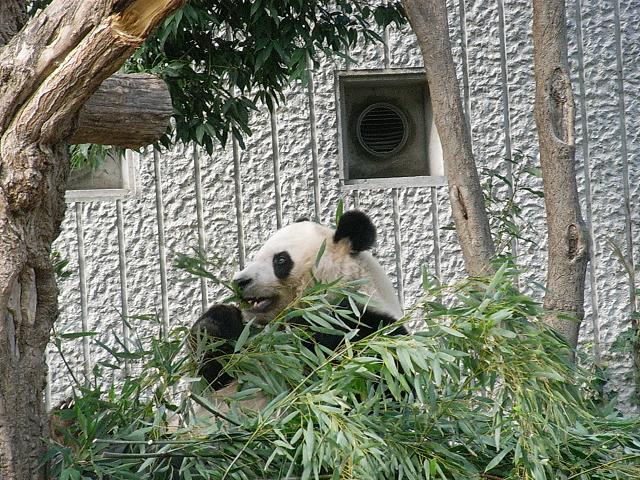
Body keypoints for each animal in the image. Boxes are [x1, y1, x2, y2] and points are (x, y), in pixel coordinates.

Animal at [189, 212, 404, 396]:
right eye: (257, 256)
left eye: (280, 260)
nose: (240, 281)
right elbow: (219, 377)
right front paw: (213, 325)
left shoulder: (363, 330)